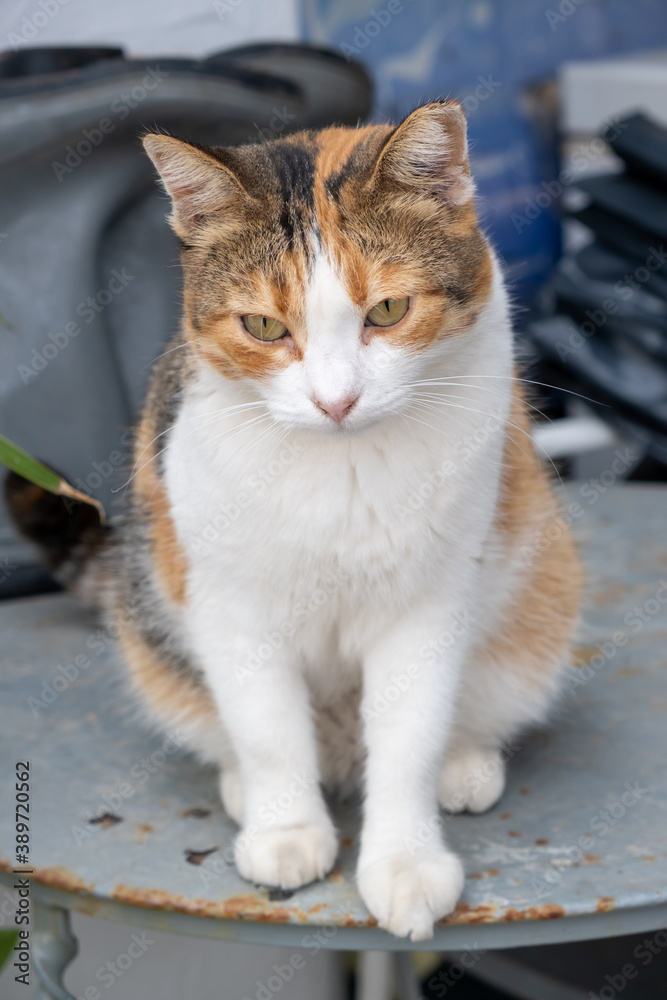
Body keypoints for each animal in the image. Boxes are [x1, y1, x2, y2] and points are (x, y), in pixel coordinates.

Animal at [3, 105, 580, 940]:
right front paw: (285, 831)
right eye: (262, 326)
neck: (339, 472)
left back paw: (464, 763)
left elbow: (407, 739)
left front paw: (404, 863)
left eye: (387, 310)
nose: (335, 402)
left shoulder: (425, 607)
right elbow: (268, 731)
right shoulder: (232, 608)